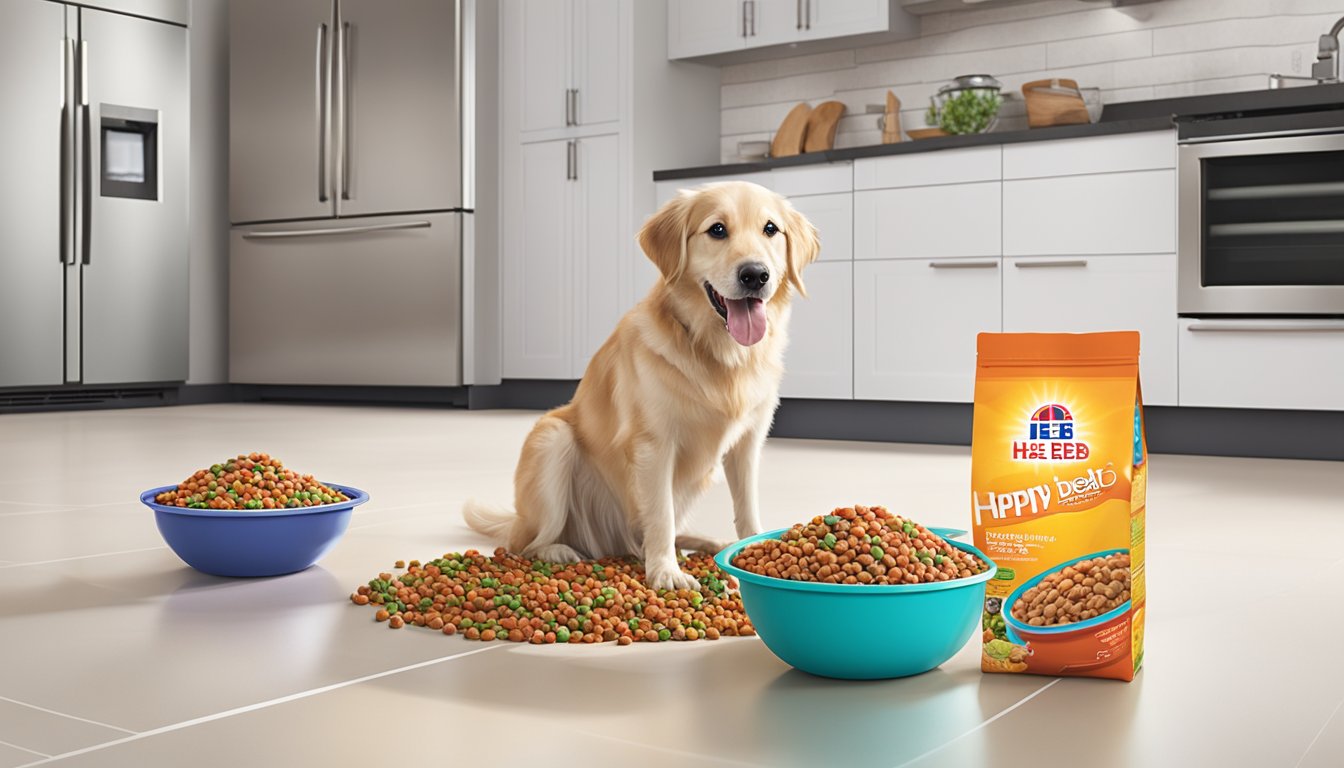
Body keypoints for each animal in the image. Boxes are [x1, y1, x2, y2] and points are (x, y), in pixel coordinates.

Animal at [462, 182, 817, 591]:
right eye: (717, 230)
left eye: (770, 229)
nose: (755, 275)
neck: (719, 354)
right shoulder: (654, 445)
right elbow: (660, 516)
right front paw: (666, 572)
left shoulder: (747, 444)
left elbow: (746, 509)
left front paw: (748, 554)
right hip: (552, 440)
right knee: (524, 543)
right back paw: (559, 550)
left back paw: (711, 543)